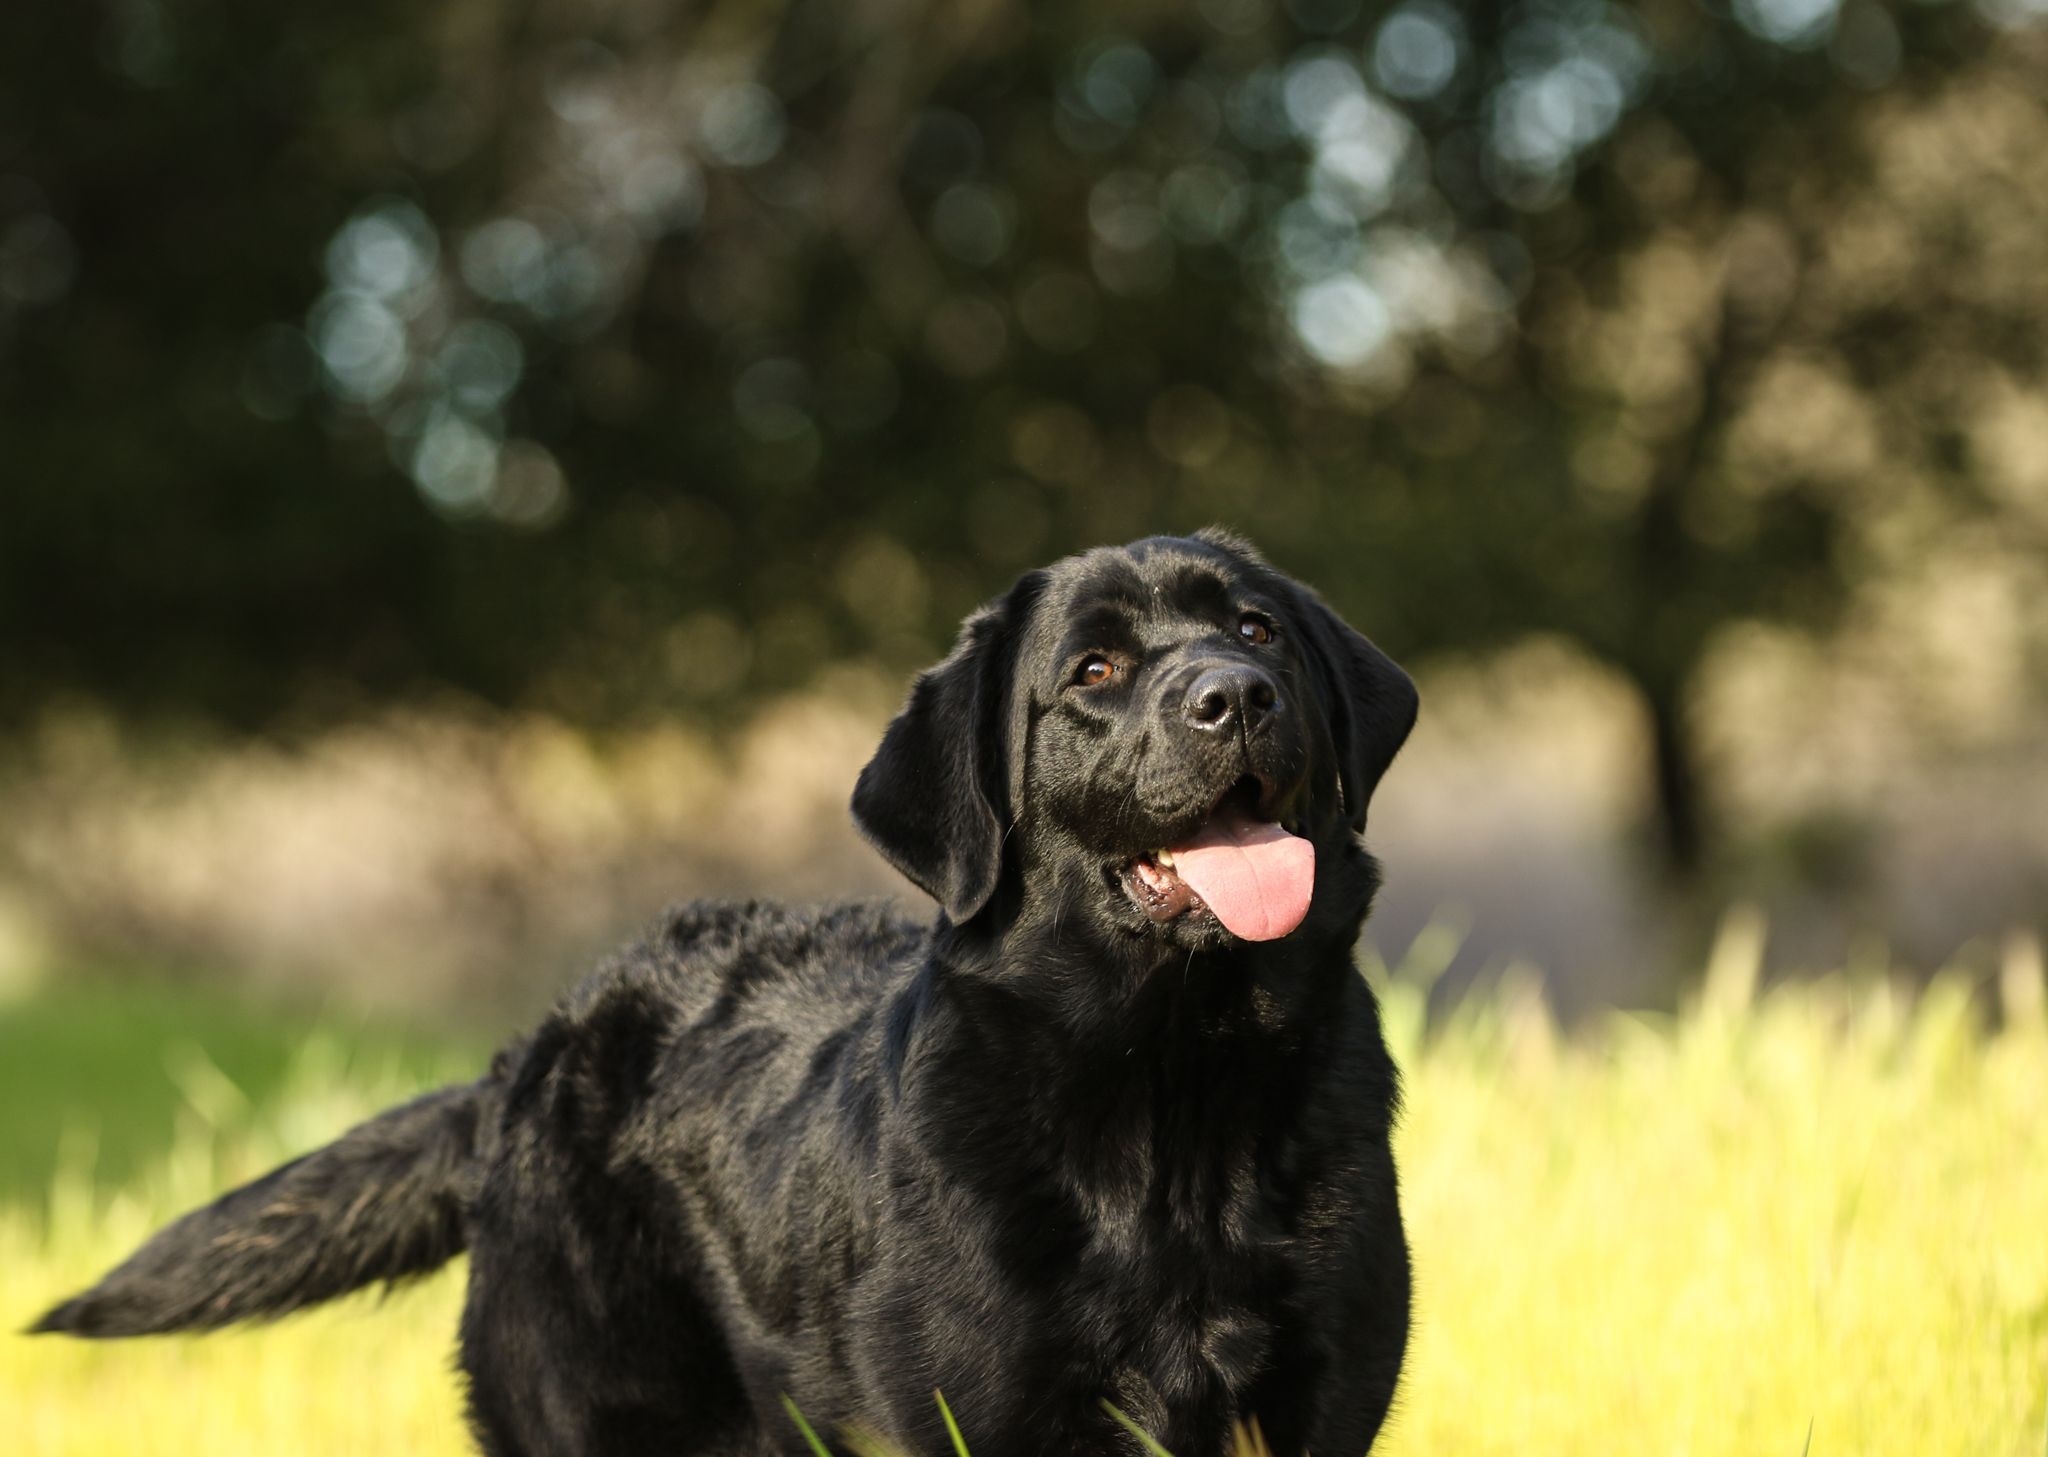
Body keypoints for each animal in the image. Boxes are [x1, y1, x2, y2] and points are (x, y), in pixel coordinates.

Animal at [32, 532, 1417, 1457]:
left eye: (1257, 630)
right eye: (1092, 670)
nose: (1234, 695)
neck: (1176, 1093)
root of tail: (522, 1056)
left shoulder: (1321, 1404)